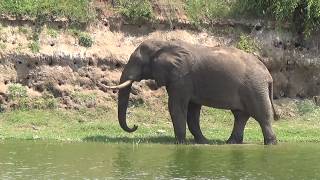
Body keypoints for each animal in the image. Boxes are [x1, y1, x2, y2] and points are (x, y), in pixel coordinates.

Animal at [104, 39, 278, 145]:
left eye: (137, 61)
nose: (135, 126)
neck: (164, 43)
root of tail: (268, 74)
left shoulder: (181, 77)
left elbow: (176, 106)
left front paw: (180, 143)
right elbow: (193, 111)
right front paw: (203, 142)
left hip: (255, 87)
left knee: (261, 115)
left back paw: (271, 144)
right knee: (240, 115)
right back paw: (231, 143)